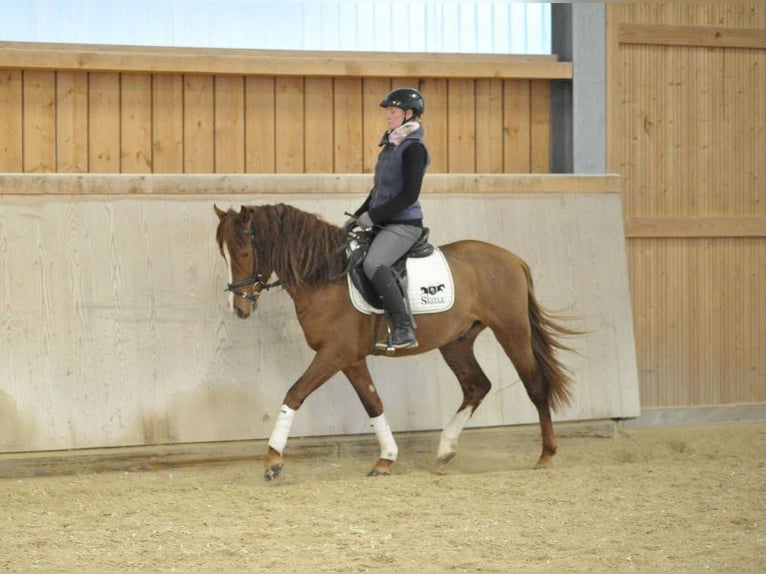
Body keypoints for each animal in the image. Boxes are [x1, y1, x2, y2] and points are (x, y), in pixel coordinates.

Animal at [213, 202, 580, 482]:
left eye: (244, 252)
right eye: (224, 255)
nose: (238, 308)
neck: (325, 276)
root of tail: (512, 259)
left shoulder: (335, 353)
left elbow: (294, 393)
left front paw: (273, 460)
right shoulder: (350, 358)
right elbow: (373, 404)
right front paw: (386, 459)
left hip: (512, 330)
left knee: (535, 385)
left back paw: (546, 455)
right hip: (457, 342)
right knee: (477, 385)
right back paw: (445, 450)